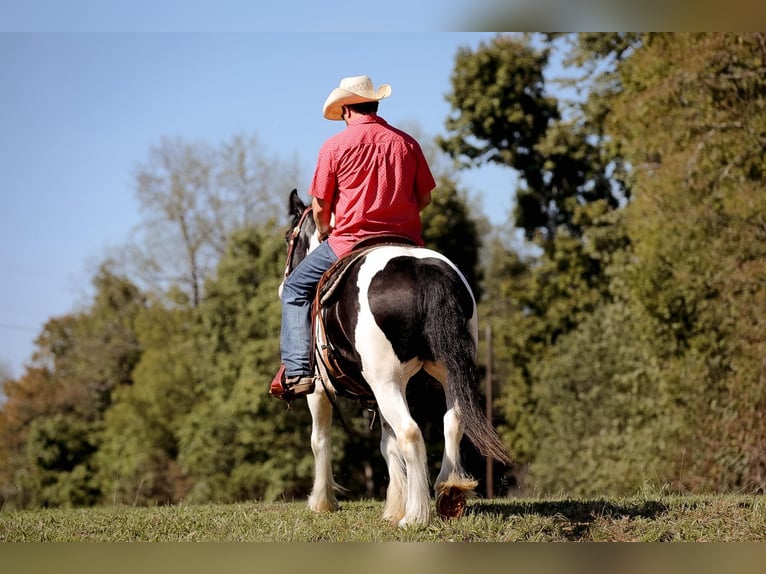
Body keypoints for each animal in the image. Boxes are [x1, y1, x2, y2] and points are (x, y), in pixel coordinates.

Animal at [280, 190, 512, 532]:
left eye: (289, 237)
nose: (283, 285)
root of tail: (424, 270)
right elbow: (387, 444)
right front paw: (393, 505)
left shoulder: (320, 388)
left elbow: (320, 440)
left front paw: (322, 502)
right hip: (446, 373)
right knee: (453, 422)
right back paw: (449, 492)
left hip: (385, 381)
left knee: (410, 432)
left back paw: (416, 515)